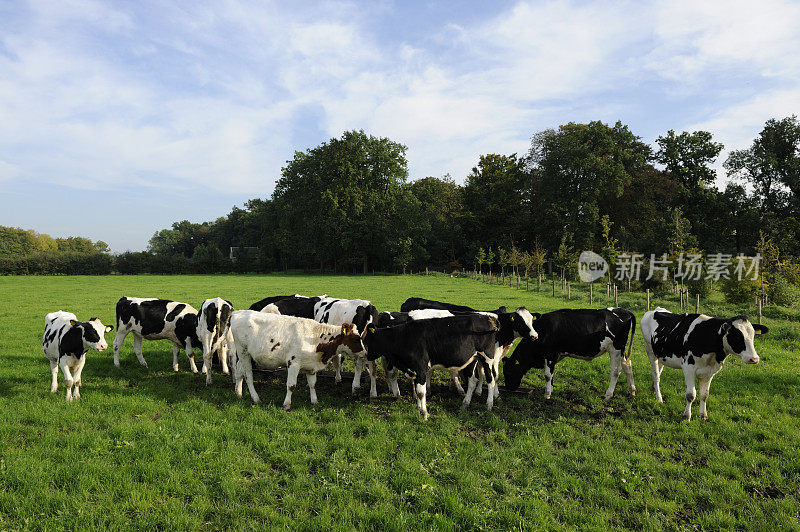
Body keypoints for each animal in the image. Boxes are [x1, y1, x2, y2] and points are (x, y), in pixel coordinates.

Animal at [228, 310, 366, 410]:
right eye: (356, 339)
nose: (365, 353)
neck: (315, 338)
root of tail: (238, 312)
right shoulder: (293, 363)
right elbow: (291, 385)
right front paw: (286, 404)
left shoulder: (311, 366)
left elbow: (312, 384)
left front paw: (314, 401)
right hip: (243, 352)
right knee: (248, 375)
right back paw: (255, 398)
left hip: (245, 354)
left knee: (240, 371)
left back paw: (238, 394)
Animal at [364, 312, 500, 420]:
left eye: (368, 341)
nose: (367, 356)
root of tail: (488, 317)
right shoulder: (415, 370)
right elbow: (418, 390)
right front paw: (419, 409)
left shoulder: (421, 368)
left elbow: (421, 392)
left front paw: (424, 414)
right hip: (472, 359)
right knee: (472, 381)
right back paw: (465, 404)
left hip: (487, 358)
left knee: (491, 380)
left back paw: (489, 405)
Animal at [500, 310, 636, 402]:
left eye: (508, 371)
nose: (509, 388)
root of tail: (623, 310)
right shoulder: (554, 357)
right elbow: (552, 374)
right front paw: (551, 389)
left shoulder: (550, 354)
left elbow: (547, 375)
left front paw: (547, 394)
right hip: (622, 350)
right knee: (627, 366)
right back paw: (632, 391)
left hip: (615, 349)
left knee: (615, 372)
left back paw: (608, 394)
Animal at [636, 308, 768, 420]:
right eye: (736, 337)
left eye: (753, 335)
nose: (754, 359)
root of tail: (654, 310)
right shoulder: (688, 368)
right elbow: (691, 395)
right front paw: (686, 416)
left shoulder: (710, 371)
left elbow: (704, 395)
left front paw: (703, 415)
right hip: (650, 351)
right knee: (656, 376)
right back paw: (659, 398)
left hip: (661, 355)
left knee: (659, 371)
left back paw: (653, 390)